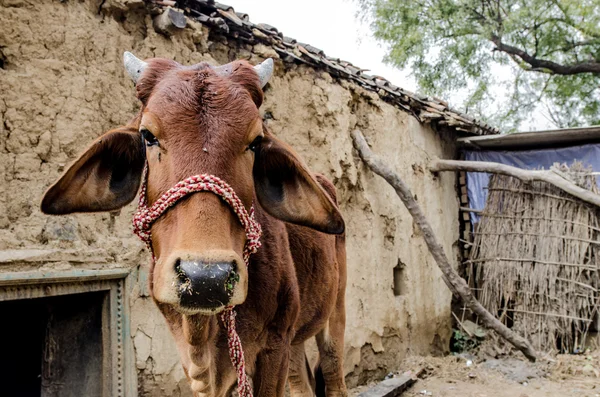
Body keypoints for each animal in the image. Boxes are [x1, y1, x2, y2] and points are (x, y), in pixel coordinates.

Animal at [39, 53, 346, 396]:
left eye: (255, 142)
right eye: (148, 135)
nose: (206, 278)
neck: (202, 330)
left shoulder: (275, 344)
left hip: (334, 315)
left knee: (333, 373)